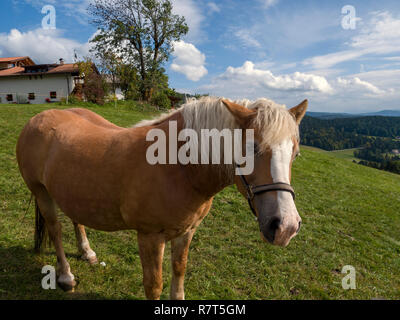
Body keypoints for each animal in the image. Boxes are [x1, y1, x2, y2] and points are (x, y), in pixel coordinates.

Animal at [16, 96, 306, 298]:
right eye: (252, 148)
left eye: (295, 154)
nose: (285, 227)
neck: (180, 166)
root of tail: (37, 118)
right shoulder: (150, 237)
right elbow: (153, 285)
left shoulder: (187, 231)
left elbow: (179, 269)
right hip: (41, 192)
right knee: (55, 230)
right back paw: (66, 277)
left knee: (76, 219)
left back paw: (87, 252)